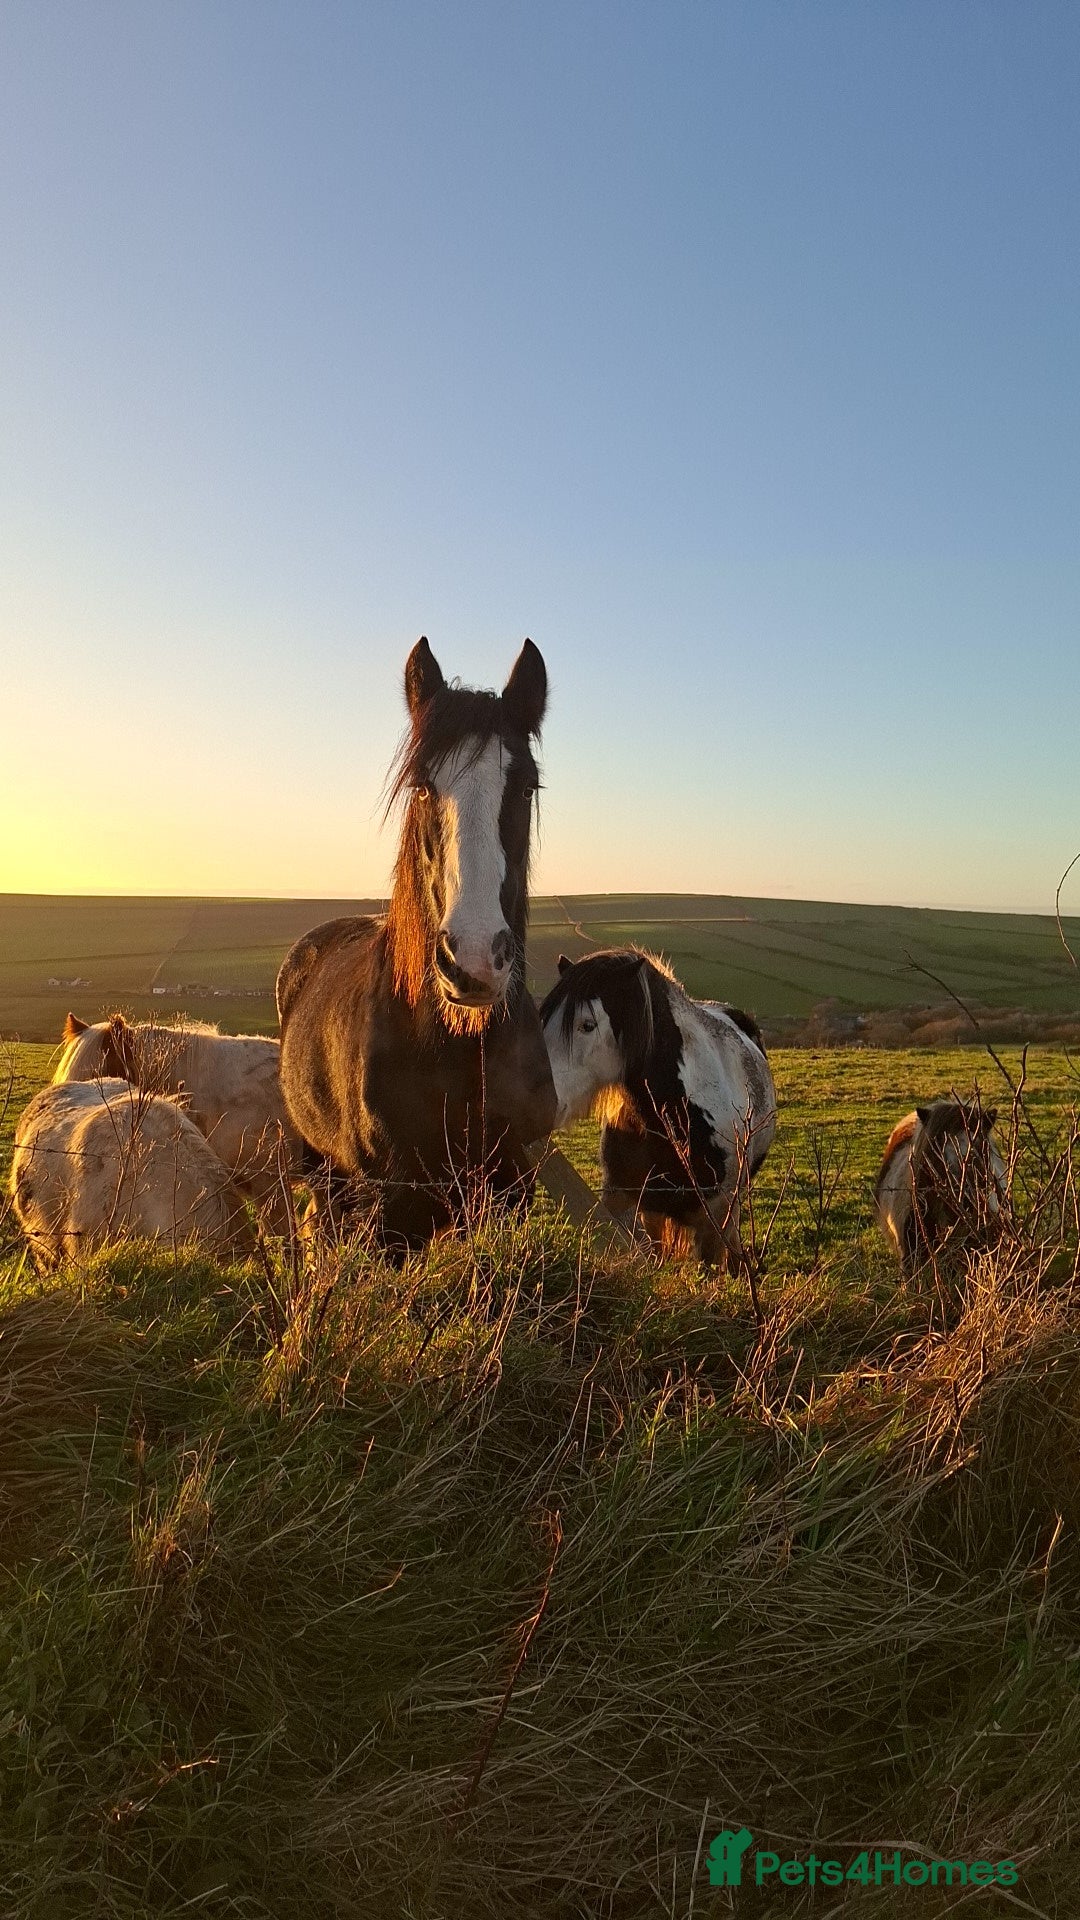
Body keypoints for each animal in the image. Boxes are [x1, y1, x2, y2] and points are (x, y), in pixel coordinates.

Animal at [276, 636, 558, 1252]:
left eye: (527, 786)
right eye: (422, 786)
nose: (474, 962)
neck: (461, 1054)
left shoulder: (511, 1193)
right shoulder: (393, 1209)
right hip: (321, 1166)